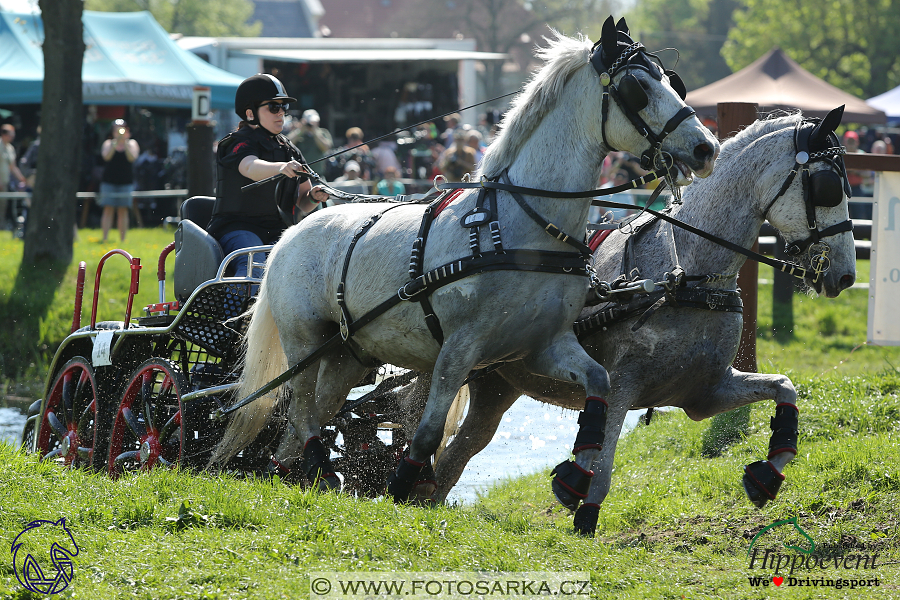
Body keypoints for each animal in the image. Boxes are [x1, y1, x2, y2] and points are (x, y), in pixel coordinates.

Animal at [209, 18, 716, 500]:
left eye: (671, 80)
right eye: (639, 87)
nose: (705, 148)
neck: (517, 227)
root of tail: (290, 234)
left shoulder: (546, 344)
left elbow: (599, 383)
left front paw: (575, 479)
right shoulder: (459, 346)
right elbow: (428, 431)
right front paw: (402, 488)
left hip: (346, 355)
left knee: (307, 417)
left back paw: (290, 473)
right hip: (303, 341)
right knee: (299, 409)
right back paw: (315, 469)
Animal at [422, 106, 856, 536]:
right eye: (829, 187)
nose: (846, 275)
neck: (687, 275)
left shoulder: (706, 392)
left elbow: (785, 388)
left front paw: (766, 475)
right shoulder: (622, 386)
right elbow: (602, 467)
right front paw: (580, 505)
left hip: (496, 386)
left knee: (458, 454)